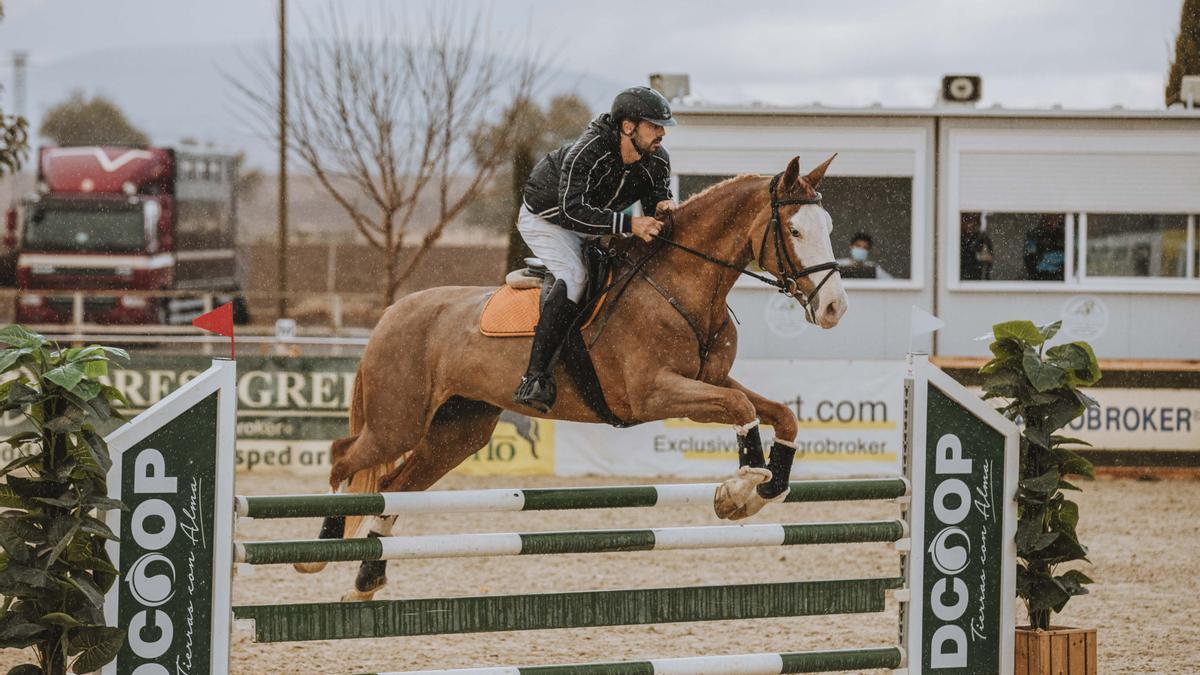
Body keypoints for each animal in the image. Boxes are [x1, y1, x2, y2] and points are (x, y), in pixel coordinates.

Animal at [300, 153, 849, 598]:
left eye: (828, 226)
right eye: (794, 231)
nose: (834, 309)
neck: (681, 283)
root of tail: (392, 314)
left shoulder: (708, 382)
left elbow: (779, 413)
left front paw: (767, 485)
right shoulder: (652, 394)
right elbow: (742, 408)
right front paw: (740, 489)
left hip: (458, 430)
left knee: (395, 484)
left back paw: (368, 577)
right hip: (399, 422)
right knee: (344, 457)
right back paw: (319, 551)